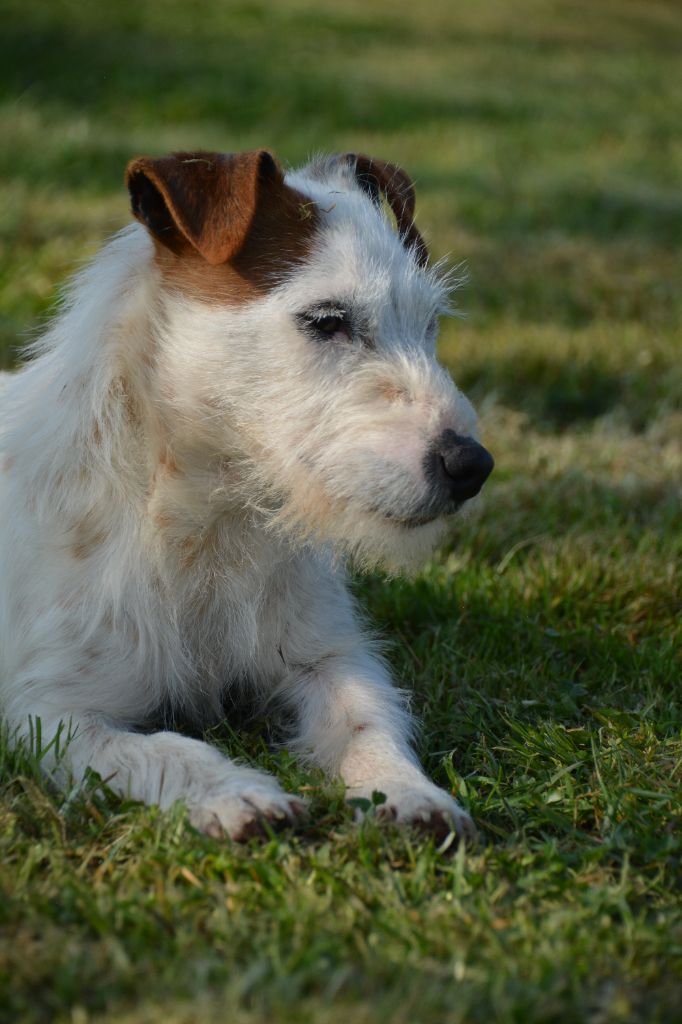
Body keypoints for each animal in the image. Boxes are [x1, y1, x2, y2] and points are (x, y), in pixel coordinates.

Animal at [0, 149, 489, 839]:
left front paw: (408, 790)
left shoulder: (328, 660)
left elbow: (369, 721)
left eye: (430, 323)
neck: (208, 518)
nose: (472, 465)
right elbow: (167, 750)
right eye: (327, 320)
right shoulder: (54, 714)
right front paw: (237, 793)